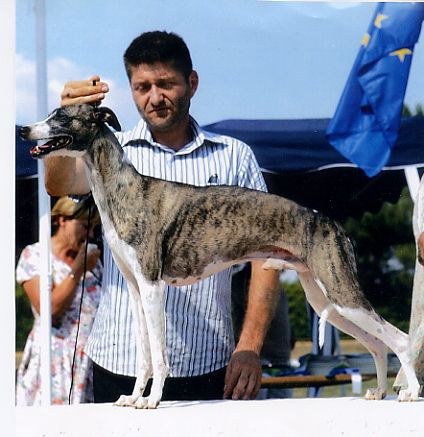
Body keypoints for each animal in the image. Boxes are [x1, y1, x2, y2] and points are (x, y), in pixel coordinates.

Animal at [20, 104, 420, 408]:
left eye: (60, 116)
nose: (22, 129)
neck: (123, 189)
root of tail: (333, 224)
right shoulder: (135, 288)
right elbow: (145, 355)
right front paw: (133, 398)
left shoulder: (152, 286)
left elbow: (160, 357)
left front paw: (152, 401)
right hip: (326, 300)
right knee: (377, 345)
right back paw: (379, 391)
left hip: (341, 292)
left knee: (398, 338)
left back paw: (410, 392)